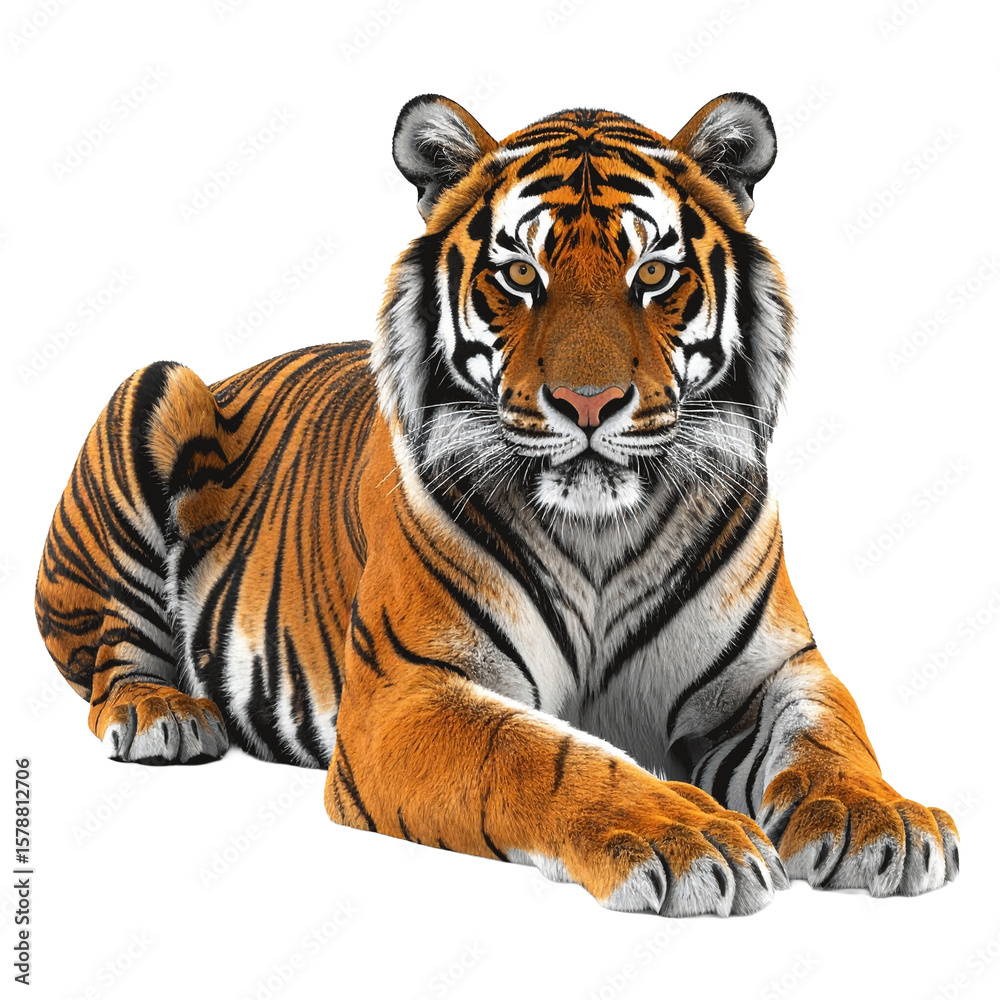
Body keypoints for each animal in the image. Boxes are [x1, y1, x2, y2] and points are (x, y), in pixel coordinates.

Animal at [35, 92, 959, 917]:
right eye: (520, 275)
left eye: (654, 275)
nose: (589, 404)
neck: (600, 532)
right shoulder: (409, 693)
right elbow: (539, 757)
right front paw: (687, 834)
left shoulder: (771, 670)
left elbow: (829, 732)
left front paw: (884, 820)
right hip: (155, 389)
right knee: (111, 653)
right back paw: (163, 714)